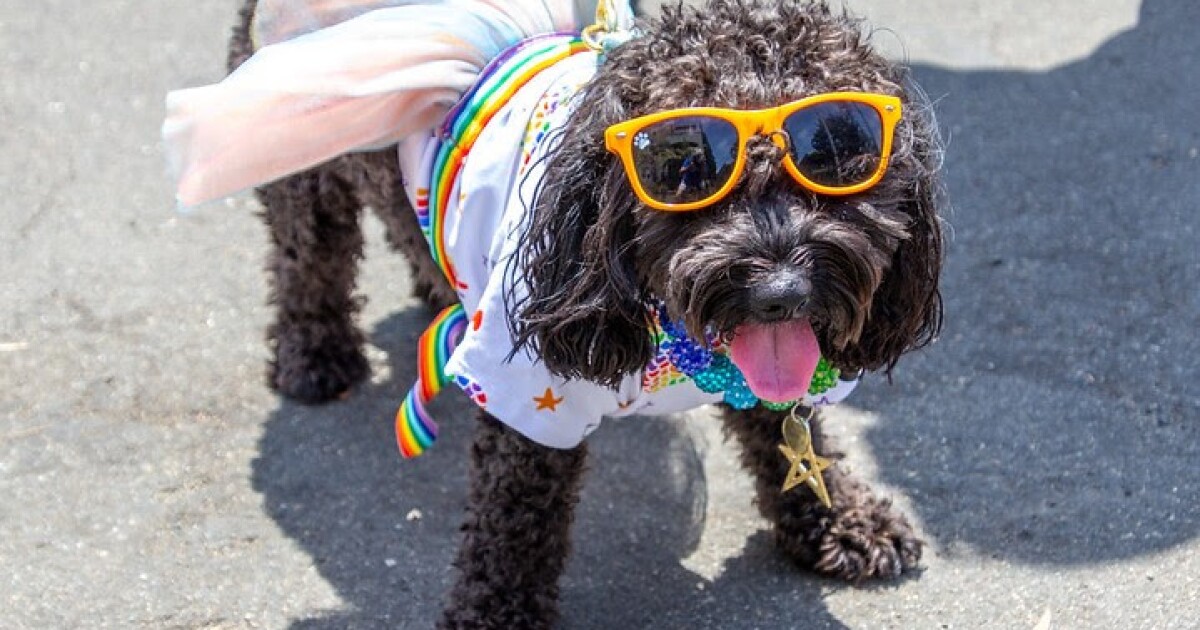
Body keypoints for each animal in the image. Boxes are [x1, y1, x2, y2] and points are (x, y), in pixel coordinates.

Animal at [220, 0, 940, 624]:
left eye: (840, 156)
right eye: (685, 169)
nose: (782, 292)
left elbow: (789, 435)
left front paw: (841, 519)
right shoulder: (530, 395)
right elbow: (514, 524)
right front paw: (495, 615)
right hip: (303, 161)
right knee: (307, 254)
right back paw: (315, 355)